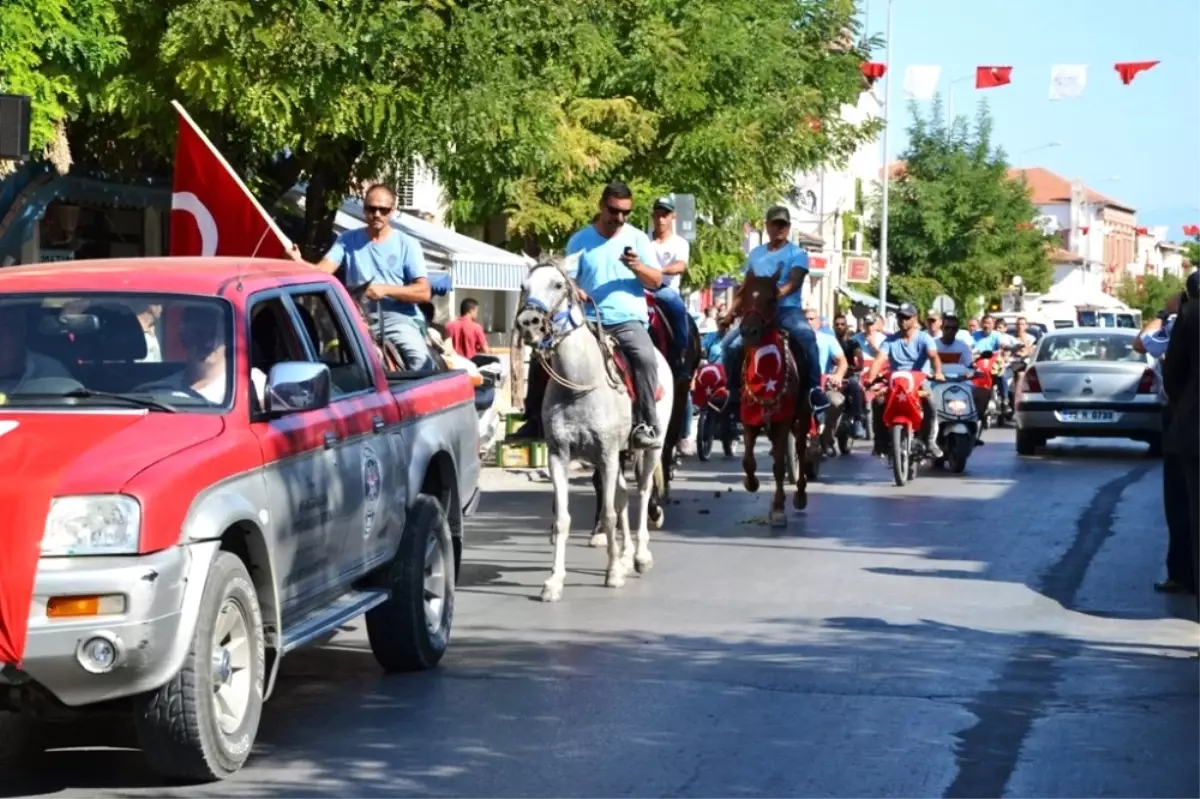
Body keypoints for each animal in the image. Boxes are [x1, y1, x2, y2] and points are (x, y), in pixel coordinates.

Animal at [516, 257, 676, 599]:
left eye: (558, 285)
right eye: (523, 286)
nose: (529, 323)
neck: (578, 384)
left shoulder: (606, 455)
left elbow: (609, 513)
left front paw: (612, 571)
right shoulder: (560, 456)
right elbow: (563, 519)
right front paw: (554, 581)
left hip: (651, 447)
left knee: (643, 491)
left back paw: (640, 555)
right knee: (623, 495)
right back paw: (626, 555)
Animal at [729, 271, 816, 525]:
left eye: (771, 300)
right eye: (743, 295)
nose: (748, 331)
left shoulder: (783, 420)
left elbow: (778, 464)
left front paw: (778, 507)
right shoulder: (749, 418)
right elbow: (748, 460)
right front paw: (751, 483)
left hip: (802, 416)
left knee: (800, 450)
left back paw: (799, 495)